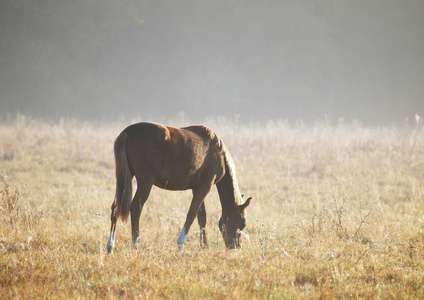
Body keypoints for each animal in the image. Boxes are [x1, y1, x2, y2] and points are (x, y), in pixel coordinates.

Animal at [107, 122, 252, 253]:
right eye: (243, 222)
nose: (236, 247)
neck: (217, 151)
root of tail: (127, 132)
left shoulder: (197, 188)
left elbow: (202, 217)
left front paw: (204, 246)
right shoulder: (206, 185)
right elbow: (192, 214)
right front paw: (181, 243)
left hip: (125, 179)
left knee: (115, 208)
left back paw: (110, 246)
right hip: (145, 182)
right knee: (136, 208)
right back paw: (137, 246)